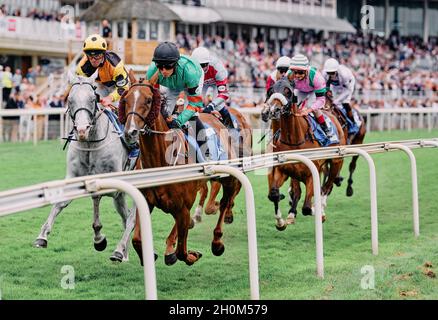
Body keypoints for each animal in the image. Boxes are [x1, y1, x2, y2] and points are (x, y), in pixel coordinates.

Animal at [34, 71, 134, 262]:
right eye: (70, 99)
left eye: (92, 99)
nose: (81, 130)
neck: (90, 144)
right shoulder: (73, 177)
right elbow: (60, 202)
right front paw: (42, 236)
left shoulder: (112, 184)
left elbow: (96, 198)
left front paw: (99, 238)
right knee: (126, 216)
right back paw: (124, 253)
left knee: (132, 217)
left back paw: (120, 251)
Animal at [121, 74, 241, 264]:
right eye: (126, 99)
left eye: (148, 100)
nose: (130, 132)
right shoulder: (148, 202)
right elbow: (137, 239)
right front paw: (152, 254)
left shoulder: (183, 206)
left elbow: (182, 252)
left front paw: (192, 255)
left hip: (227, 178)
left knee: (224, 202)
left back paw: (217, 241)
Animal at [264, 80, 346, 230]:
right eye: (271, 91)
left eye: (287, 91)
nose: (273, 110)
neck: (294, 140)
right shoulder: (282, 170)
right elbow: (274, 194)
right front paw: (280, 222)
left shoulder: (311, 174)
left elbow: (307, 208)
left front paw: (319, 213)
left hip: (336, 162)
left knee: (327, 187)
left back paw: (321, 208)